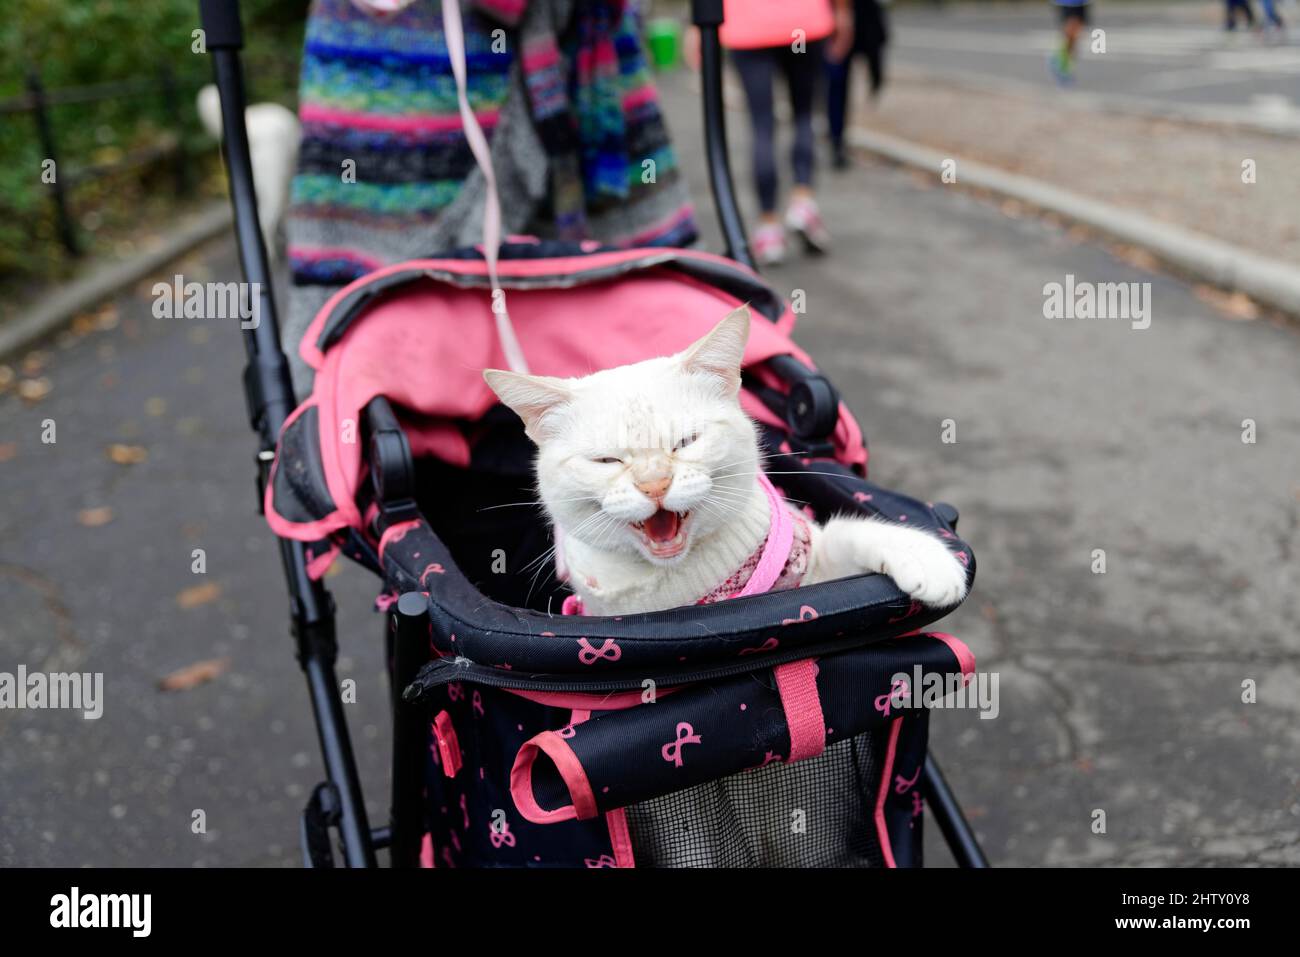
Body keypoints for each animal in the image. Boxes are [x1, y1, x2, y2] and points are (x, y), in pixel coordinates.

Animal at [483, 308, 972, 621]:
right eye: (607, 459)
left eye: (686, 441)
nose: (655, 484)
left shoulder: (813, 565)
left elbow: (852, 534)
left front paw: (927, 559)